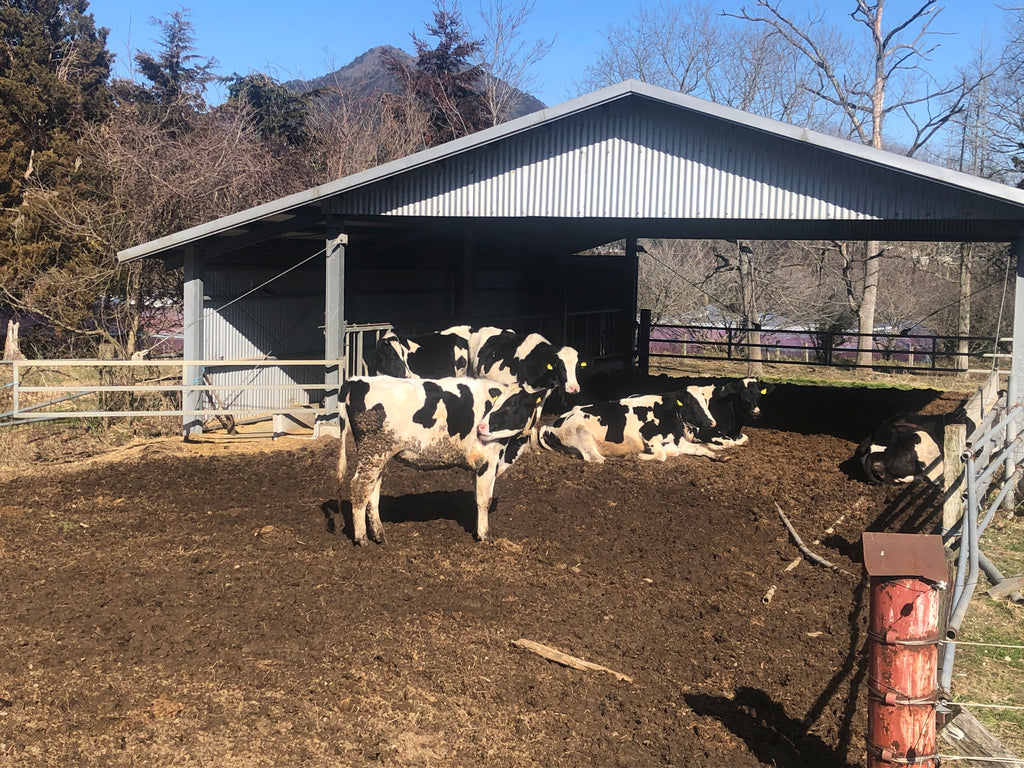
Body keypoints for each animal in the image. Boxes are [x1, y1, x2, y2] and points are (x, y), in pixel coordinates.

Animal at [337, 376, 548, 544]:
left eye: (512, 404)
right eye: (500, 403)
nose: (481, 427)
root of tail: (357, 380)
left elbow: (476, 497)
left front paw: (476, 530)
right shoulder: (487, 461)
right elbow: (484, 500)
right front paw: (483, 535)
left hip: (377, 455)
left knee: (372, 490)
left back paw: (379, 535)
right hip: (373, 452)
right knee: (359, 488)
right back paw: (361, 538)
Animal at [536, 385, 720, 462]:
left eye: (705, 402)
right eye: (693, 404)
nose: (713, 422)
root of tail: (551, 423)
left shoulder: (677, 442)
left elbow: (700, 448)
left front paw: (718, 456)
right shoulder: (648, 435)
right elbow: (661, 455)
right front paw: (641, 455)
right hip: (582, 433)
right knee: (595, 458)